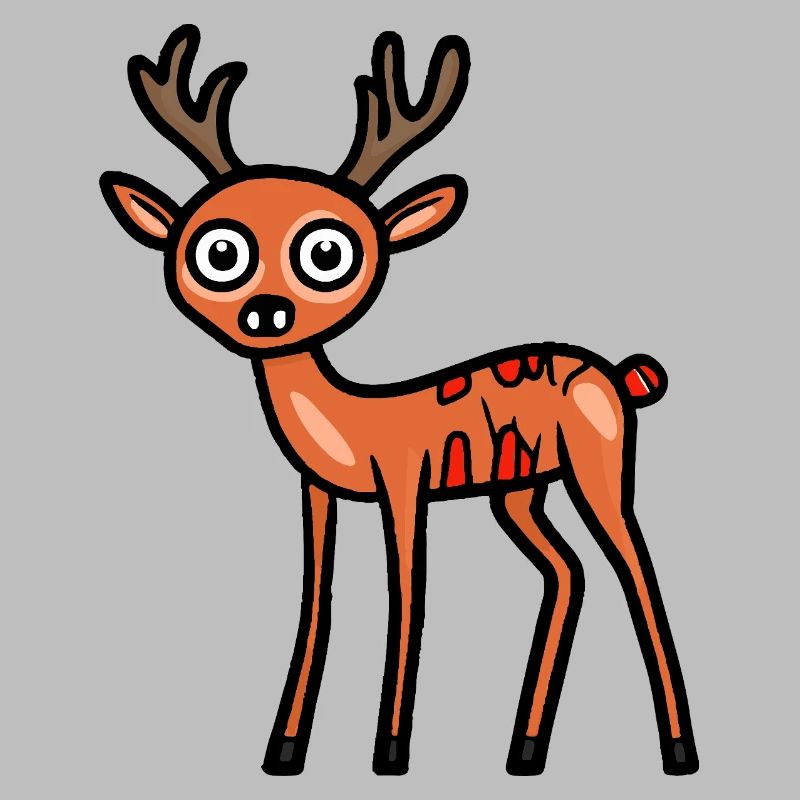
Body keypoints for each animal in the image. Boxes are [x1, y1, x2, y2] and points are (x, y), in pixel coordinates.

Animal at [99, 25, 699, 777]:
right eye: (219, 252)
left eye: (327, 253)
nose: (266, 313)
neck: (354, 420)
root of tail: (618, 373)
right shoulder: (318, 492)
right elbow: (317, 599)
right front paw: (284, 750)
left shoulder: (406, 484)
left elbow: (407, 596)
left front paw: (389, 751)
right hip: (519, 492)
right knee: (568, 573)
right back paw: (523, 750)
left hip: (599, 468)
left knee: (636, 571)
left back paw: (677, 751)